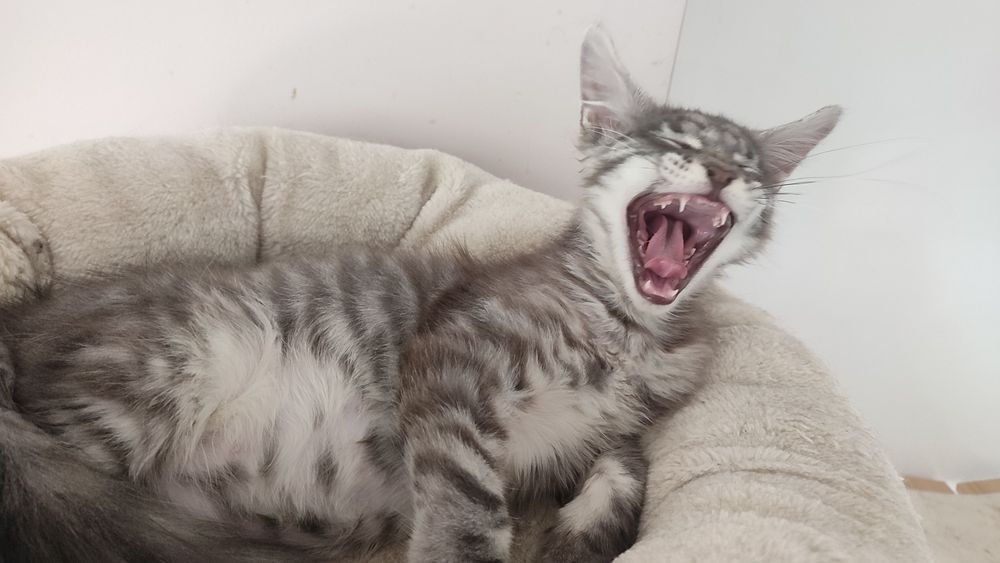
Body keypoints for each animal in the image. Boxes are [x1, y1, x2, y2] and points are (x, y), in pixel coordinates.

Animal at [0, 26, 840, 563]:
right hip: (143, 389)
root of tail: (22, 323)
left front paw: (578, 536)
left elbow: (628, 468)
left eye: (750, 167)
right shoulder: (454, 353)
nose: (722, 173)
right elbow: (468, 501)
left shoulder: (613, 425)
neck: (628, 325)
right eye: (675, 143)